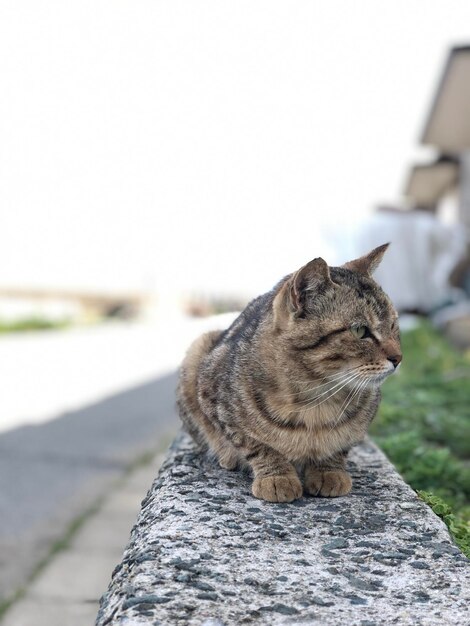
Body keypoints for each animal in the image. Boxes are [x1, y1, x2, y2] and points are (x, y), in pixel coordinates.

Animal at [176, 244, 400, 502]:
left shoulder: (360, 425)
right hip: (197, 351)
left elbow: (339, 446)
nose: (399, 358)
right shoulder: (215, 401)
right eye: (360, 330)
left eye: (393, 325)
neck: (318, 397)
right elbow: (256, 445)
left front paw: (329, 470)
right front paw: (277, 476)